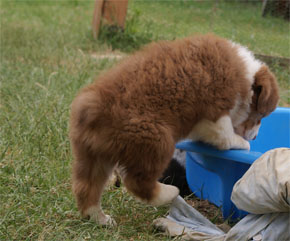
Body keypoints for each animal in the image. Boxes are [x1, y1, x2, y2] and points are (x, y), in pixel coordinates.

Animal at [69, 34, 280, 226]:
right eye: (261, 117)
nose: (256, 137)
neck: (245, 76)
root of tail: (93, 110)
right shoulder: (215, 112)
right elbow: (224, 135)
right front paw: (242, 144)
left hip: (94, 157)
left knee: (86, 187)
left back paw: (99, 218)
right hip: (155, 139)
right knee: (137, 182)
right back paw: (169, 193)